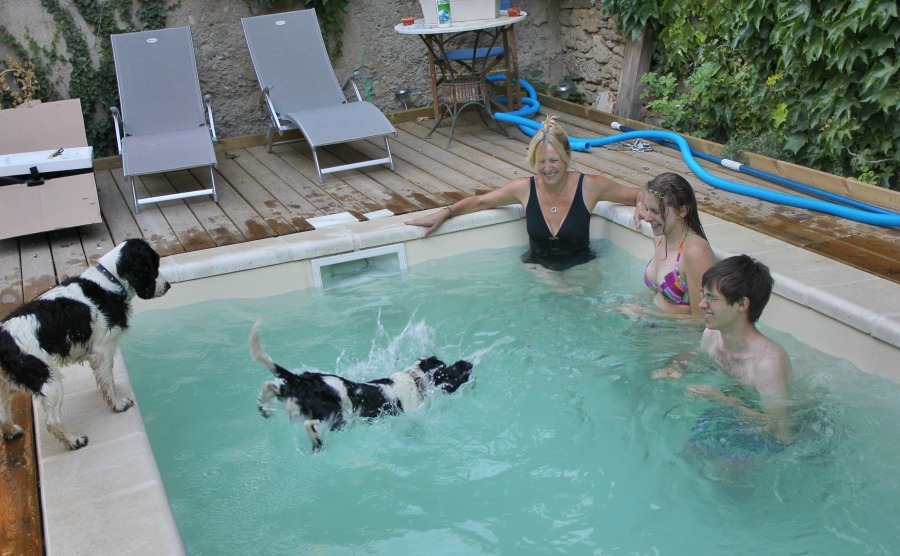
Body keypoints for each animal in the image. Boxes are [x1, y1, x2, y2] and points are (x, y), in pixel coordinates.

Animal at [0, 237, 171, 450]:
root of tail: (4, 338)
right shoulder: (103, 349)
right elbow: (108, 382)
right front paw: (118, 404)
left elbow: (104, 379)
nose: (168, 285)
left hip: (6, 382)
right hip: (48, 379)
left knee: (2, 412)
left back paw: (11, 430)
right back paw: (74, 440)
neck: (108, 282)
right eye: (153, 265)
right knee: (52, 421)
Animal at [246, 322, 472, 452]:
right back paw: (318, 442)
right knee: (311, 425)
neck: (414, 380)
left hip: (292, 399)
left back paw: (263, 408)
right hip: (338, 417)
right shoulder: (410, 416)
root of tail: (306, 381)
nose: (467, 366)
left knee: (271, 386)